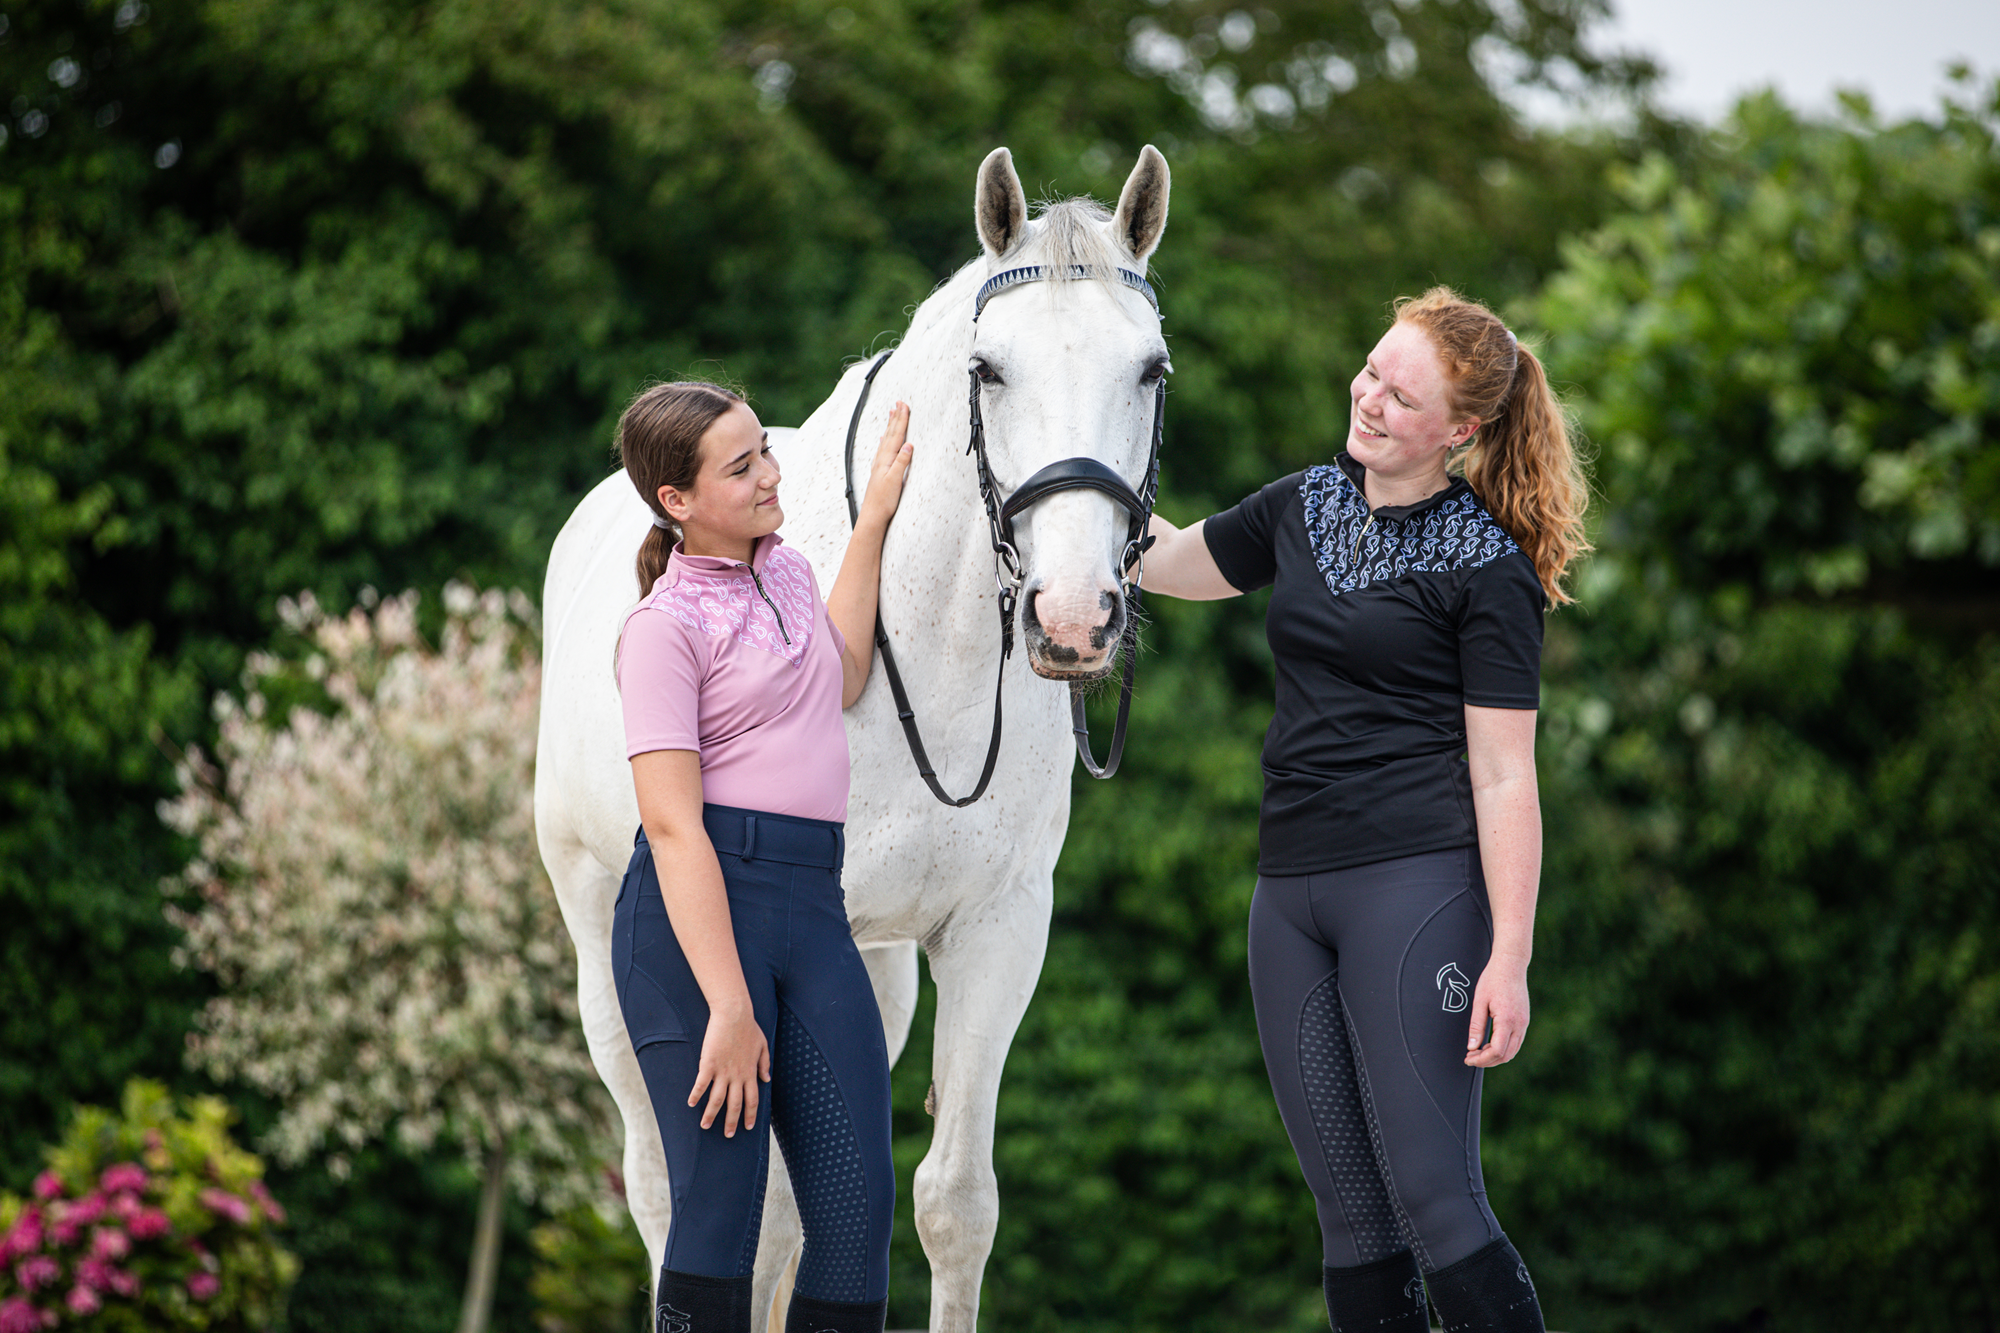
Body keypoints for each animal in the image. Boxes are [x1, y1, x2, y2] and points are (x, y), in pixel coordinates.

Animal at [540, 145, 1168, 1328]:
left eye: (1149, 370)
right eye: (988, 370)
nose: (1073, 619)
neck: (923, 638)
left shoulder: (996, 931)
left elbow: (949, 1203)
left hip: (878, 970)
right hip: (601, 928)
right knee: (668, 1187)